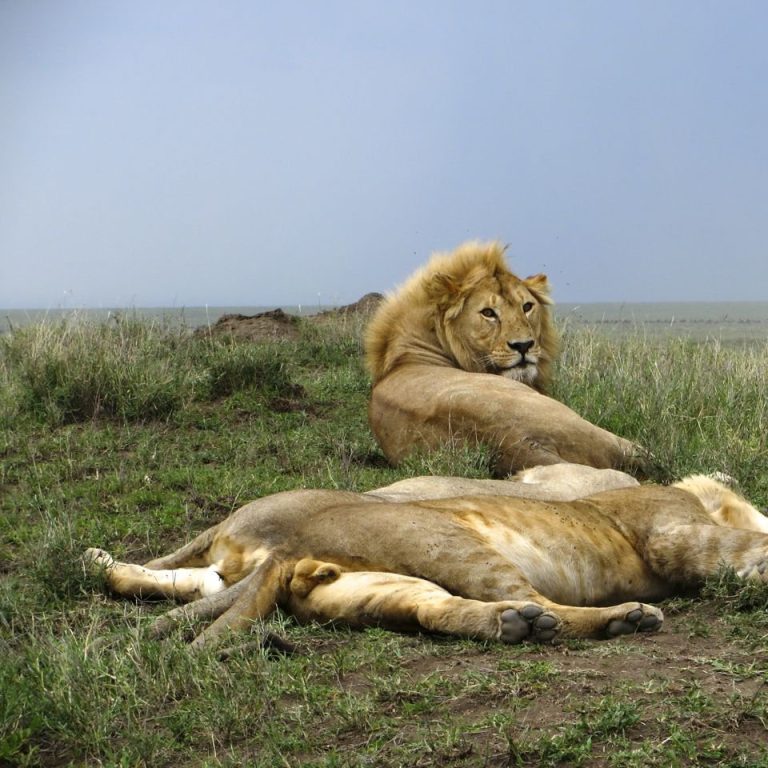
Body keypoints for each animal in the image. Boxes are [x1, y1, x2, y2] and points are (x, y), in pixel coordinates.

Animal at [85, 465, 768, 649]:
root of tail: (290, 549)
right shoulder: (675, 534)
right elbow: (739, 550)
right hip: (454, 543)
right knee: (542, 603)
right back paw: (621, 619)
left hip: (372, 589)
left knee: (436, 612)